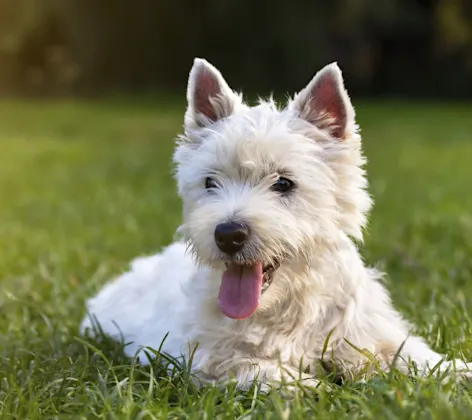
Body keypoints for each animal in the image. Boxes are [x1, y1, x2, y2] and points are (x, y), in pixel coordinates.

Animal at [80, 57, 468, 388]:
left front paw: (459, 371)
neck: (287, 304)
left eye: (283, 183)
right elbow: (266, 371)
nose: (228, 235)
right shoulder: (208, 357)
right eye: (210, 182)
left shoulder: (368, 335)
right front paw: (315, 387)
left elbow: (411, 354)